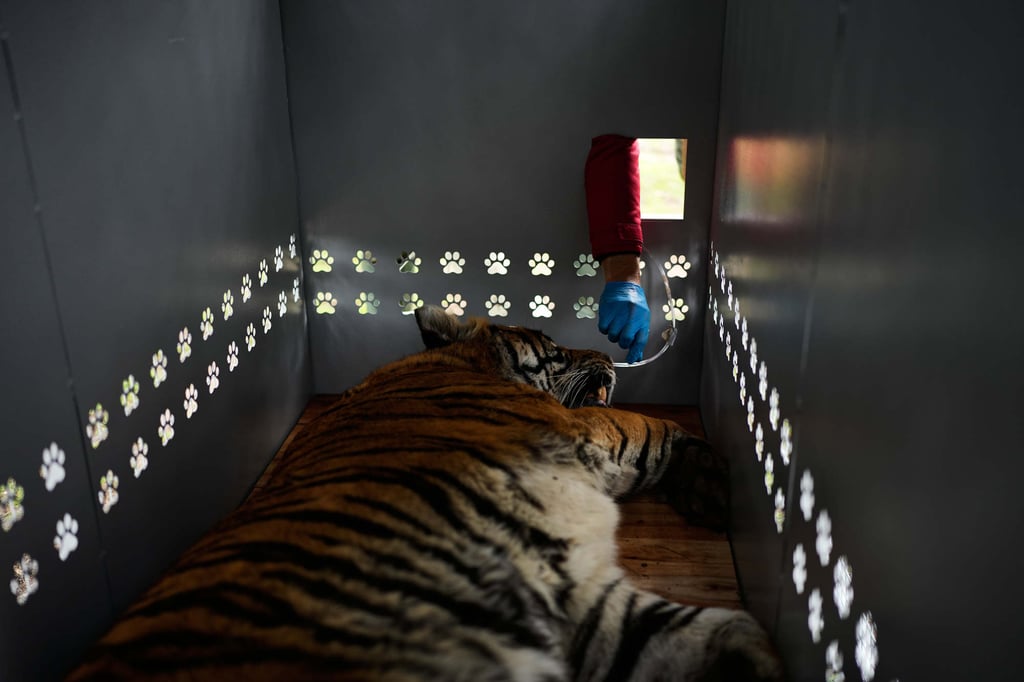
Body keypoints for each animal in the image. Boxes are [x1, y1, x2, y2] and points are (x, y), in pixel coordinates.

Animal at [68, 305, 783, 681]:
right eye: (553, 344)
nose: (607, 354)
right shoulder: (582, 428)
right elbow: (650, 427)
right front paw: (709, 478)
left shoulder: (581, 600)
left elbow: (721, 626)